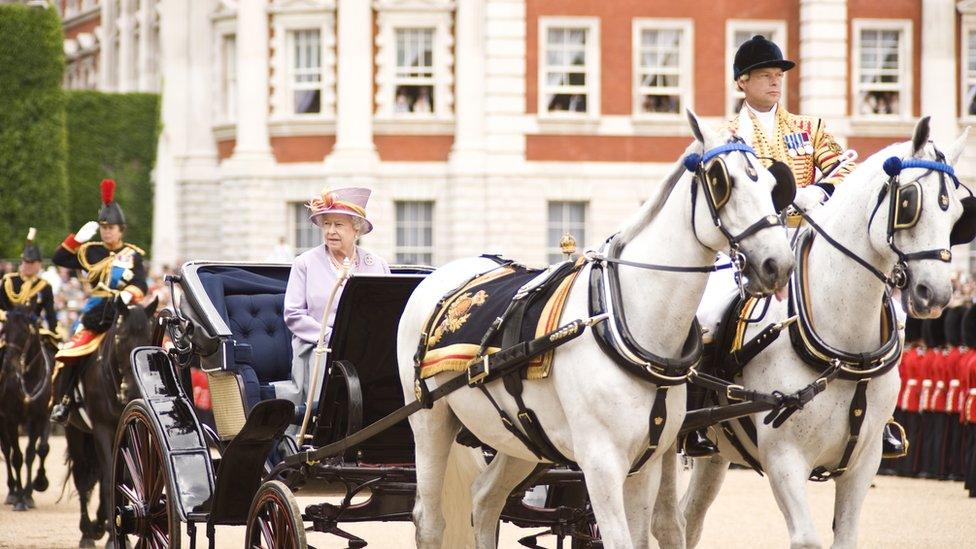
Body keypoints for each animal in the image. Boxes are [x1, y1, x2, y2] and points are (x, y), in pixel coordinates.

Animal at [0, 304, 54, 510]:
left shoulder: (40, 416)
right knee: (7, 451)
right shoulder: (11, 419)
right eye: (5, 330)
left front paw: (32, 491)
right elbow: (17, 457)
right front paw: (20, 498)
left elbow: (35, 451)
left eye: (24, 331)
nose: (8, 365)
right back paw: (12, 491)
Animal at [63, 298, 157, 544]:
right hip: (76, 434)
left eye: (148, 337)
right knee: (82, 479)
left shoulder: (129, 428)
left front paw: (112, 524)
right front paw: (109, 534)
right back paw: (87, 531)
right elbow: (107, 481)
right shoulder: (102, 429)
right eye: (120, 337)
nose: (132, 391)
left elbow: (124, 477)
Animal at [398, 111, 800, 548]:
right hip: (430, 423)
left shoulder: (647, 462)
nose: (778, 264)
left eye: (772, 183)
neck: (634, 325)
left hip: (520, 439)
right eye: (721, 179)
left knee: (486, 499)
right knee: (429, 520)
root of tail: (445, 273)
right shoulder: (601, 463)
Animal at [676, 116, 976, 548]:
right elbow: (806, 538)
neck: (844, 347)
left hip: (716, 454)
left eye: (956, 214)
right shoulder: (784, 459)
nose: (933, 293)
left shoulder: (863, 463)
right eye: (908, 203)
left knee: (686, 519)